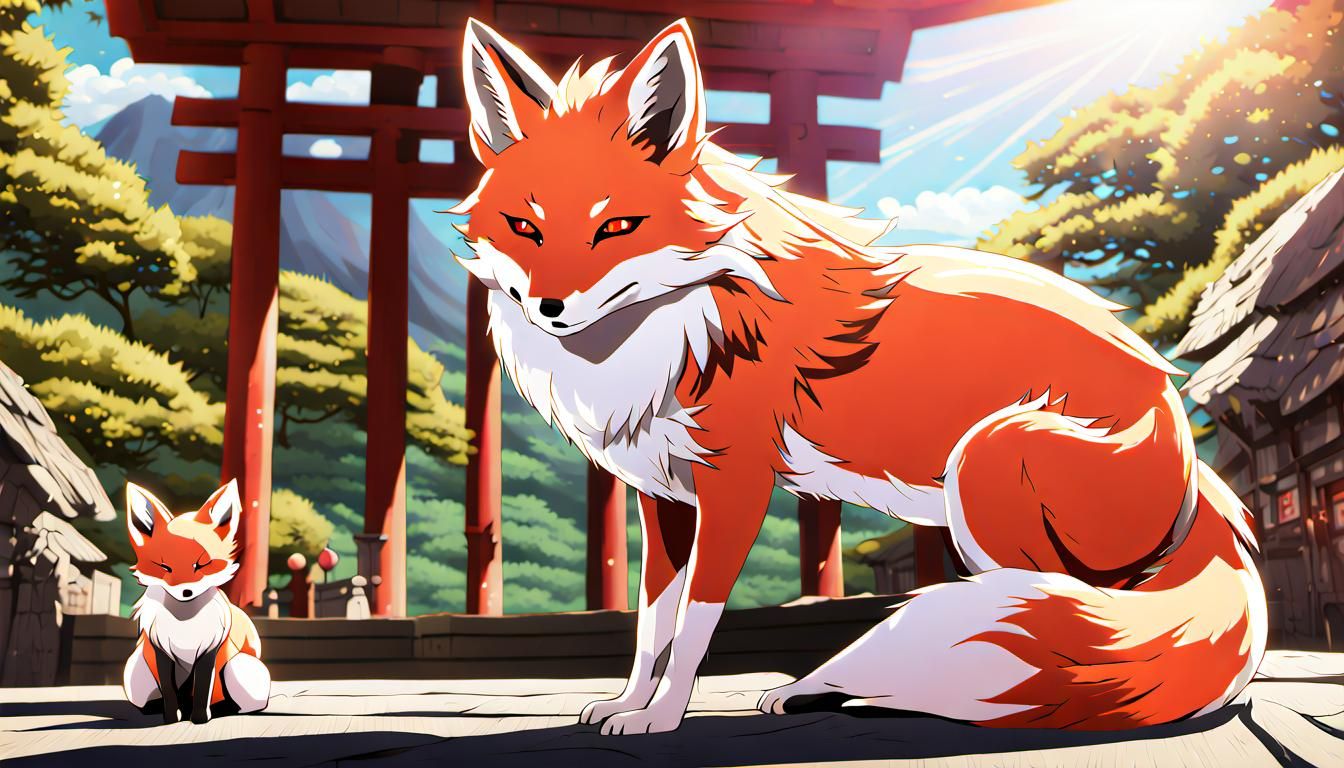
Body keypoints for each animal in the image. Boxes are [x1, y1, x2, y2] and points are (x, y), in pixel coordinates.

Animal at [121, 479, 271, 724]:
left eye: (202, 564)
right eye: (165, 567)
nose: (186, 591)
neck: (185, 624)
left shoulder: (209, 650)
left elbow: (202, 687)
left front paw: (200, 717)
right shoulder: (161, 650)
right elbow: (170, 690)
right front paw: (172, 717)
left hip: (236, 667)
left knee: (246, 706)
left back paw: (222, 709)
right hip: (134, 671)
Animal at [453, 18, 1268, 735]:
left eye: (616, 227)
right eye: (526, 228)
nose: (551, 307)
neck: (680, 335)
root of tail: (1190, 449)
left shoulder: (735, 488)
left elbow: (694, 626)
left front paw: (662, 719)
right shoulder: (663, 498)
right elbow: (653, 623)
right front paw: (628, 704)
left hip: (990, 461)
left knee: (1065, 611)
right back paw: (814, 693)